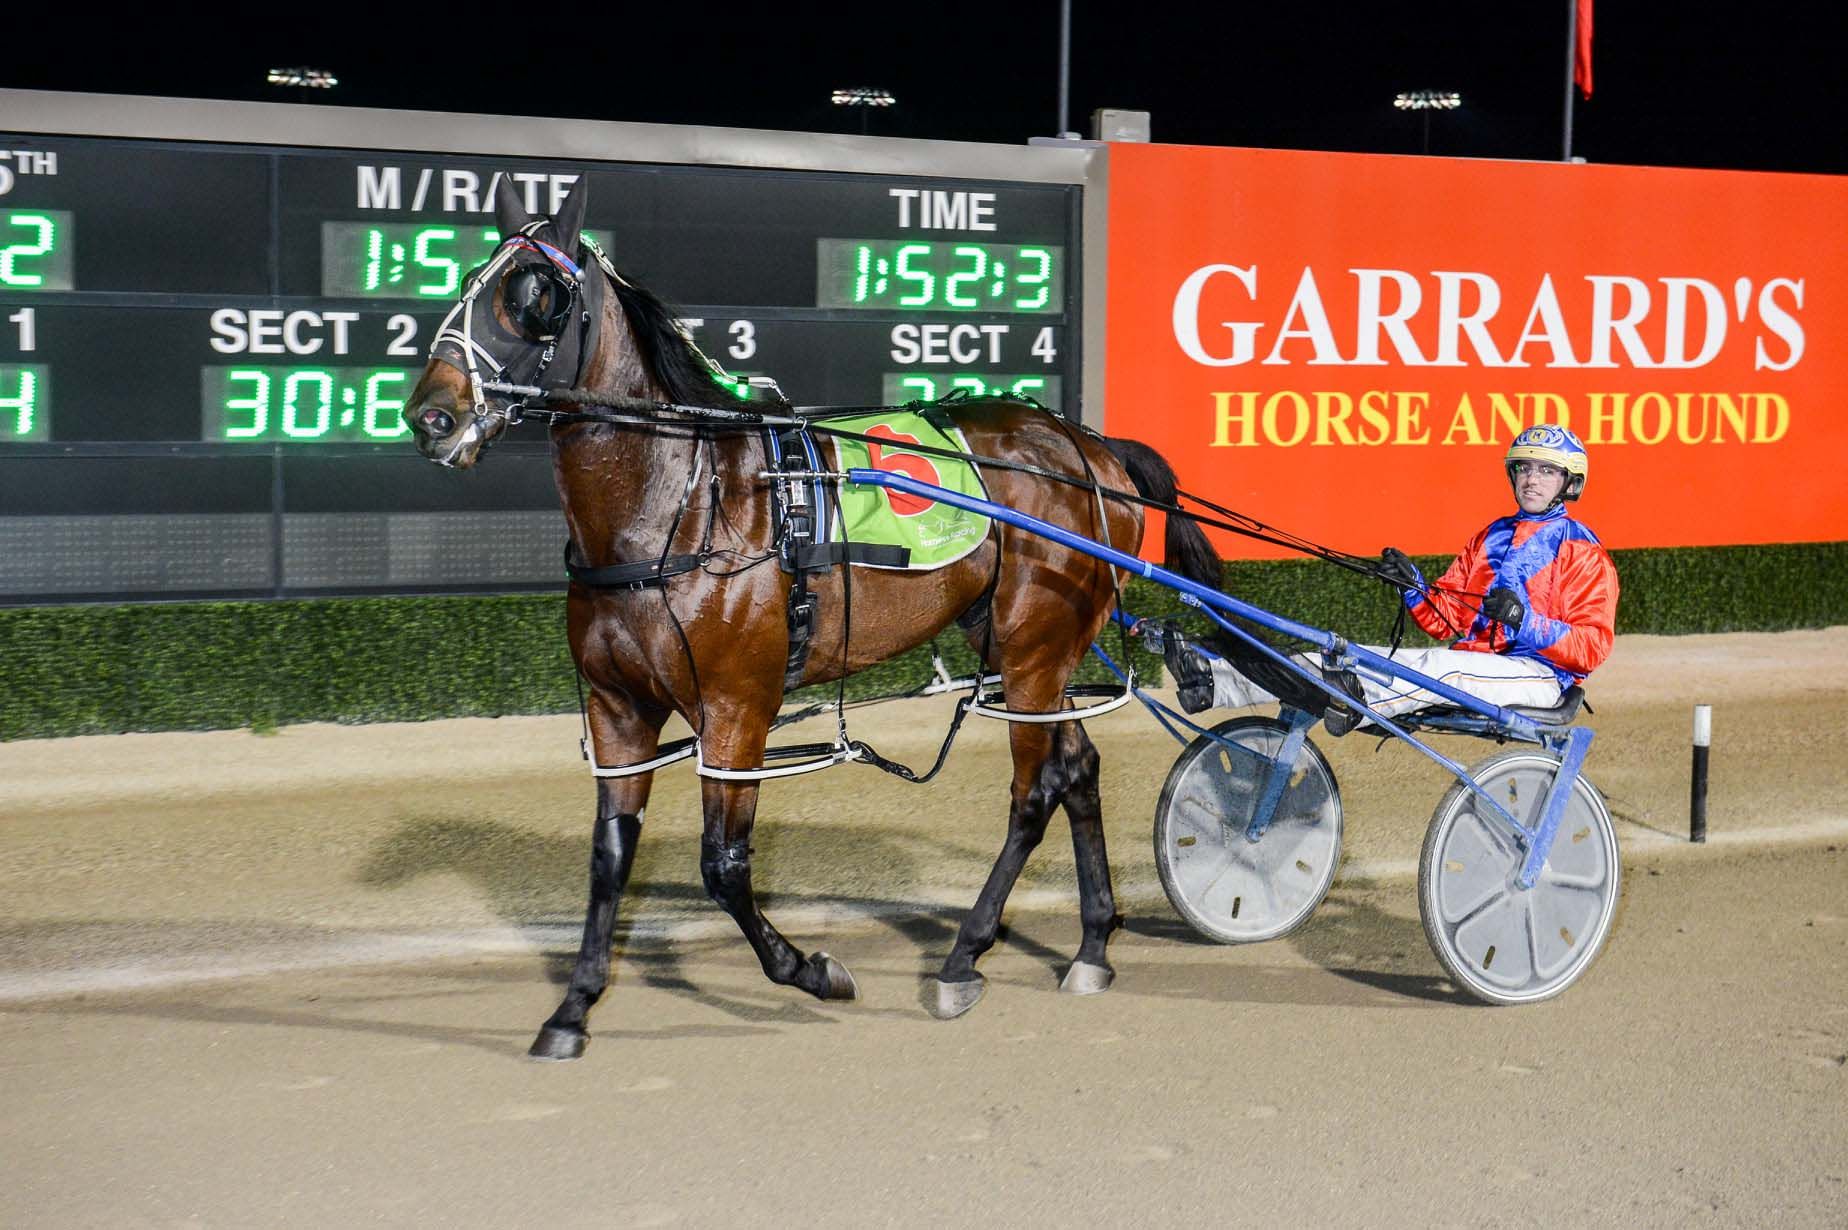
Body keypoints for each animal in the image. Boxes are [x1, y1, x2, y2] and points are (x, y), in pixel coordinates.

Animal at [404, 177, 1219, 1056]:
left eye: (535, 296)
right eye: (463, 281)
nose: (431, 415)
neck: (682, 508)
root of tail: (1091, 447)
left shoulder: (736, 708)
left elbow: (723, 866)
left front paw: (813, 971)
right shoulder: (617, 706)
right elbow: (610, 856)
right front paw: (573, 1007)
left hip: (1035, 652)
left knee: (1033, 796)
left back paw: (963, 957)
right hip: (1023, 646)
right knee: (1079, 770)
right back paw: (1093, 944)